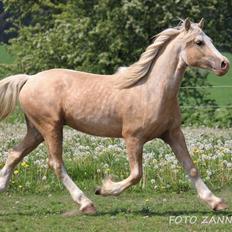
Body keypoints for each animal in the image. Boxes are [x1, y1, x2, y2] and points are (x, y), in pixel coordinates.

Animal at [0, 18, 229, 214]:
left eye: (210, 40)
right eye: (199, 42)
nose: (224, 64)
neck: (152, 90)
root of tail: (29, 79)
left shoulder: (173, 133)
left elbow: (191, 168)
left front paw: (216, 202)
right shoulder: (133, 138)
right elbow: (136, 175)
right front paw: (104, 189)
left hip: (36, 131)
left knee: (14, 154)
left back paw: (2, 187)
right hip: (51, 127)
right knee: (55, 164)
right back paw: (87, 204)